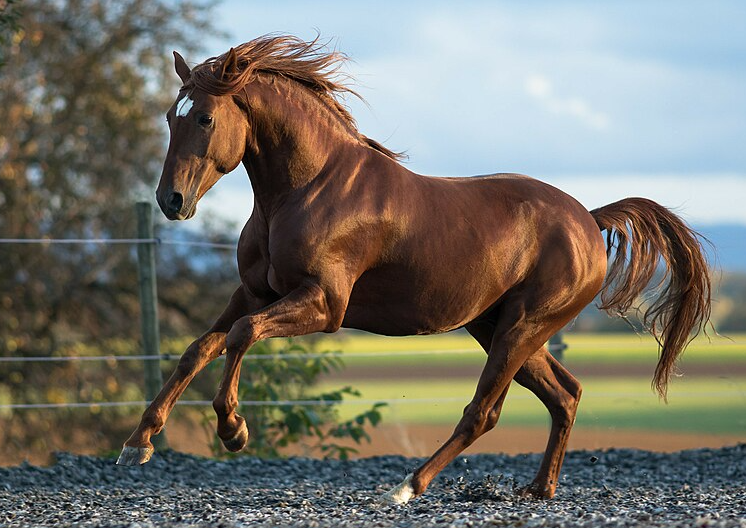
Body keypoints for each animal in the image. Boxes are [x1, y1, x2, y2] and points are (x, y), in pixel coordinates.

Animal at [116, 34, 708, 504]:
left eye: (205, 117)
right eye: (170, 116)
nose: (170, 200)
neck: (307, 189)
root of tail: (588, 218)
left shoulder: (323, 304)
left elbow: (240, 336)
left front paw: (234, 430)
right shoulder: (254, 292)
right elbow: (199, 348)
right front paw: (137, 443)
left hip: (522, 327)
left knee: (484, 412)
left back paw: (405, 488)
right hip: (499, 326)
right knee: (565, 395)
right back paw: (539, 489)